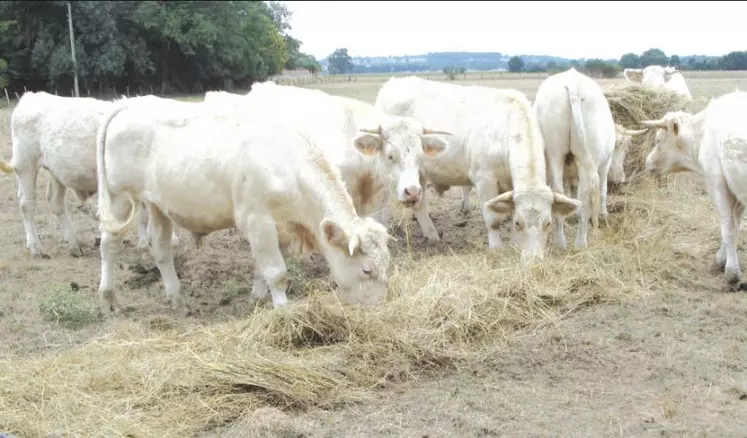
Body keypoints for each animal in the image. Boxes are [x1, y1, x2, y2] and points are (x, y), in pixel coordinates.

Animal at [0, 90, 180, 258]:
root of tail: (32, 96)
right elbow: (147, 215)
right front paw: (151, 243)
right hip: (25, 164)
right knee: (27, 204)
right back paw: (35, 248)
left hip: (57, 173)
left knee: (56, 203)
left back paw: (73, 244)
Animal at [96, 94, 394, 314]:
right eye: (367, 270)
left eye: (387, 265)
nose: (381, 309)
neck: (286, 162)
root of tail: (130, 103)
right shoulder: (257, 219)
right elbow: (276, 272)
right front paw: (283, 310)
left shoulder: (277, 226)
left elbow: (261, 267)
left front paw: (258, 296)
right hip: (119, 197)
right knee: (109, 244)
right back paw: (109, 297)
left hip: (157, 205)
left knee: (161, 249)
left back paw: (177, 300)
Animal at [536, 66, 620, 248]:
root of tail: (572, 83)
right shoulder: (605, 164)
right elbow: (603, 189)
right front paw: (603, 214)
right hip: (587, 157)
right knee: (586, 192)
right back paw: (581, 242)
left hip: (554, 153)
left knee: (558, 191)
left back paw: (560, 242)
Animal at [640, 90, 747, 288]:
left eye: (658, 140)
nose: (647, 161)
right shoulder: (736, 188)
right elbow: (736, 224)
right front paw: (722, 259)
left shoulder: (717, 181)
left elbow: (728, 226)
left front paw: (731, 272)